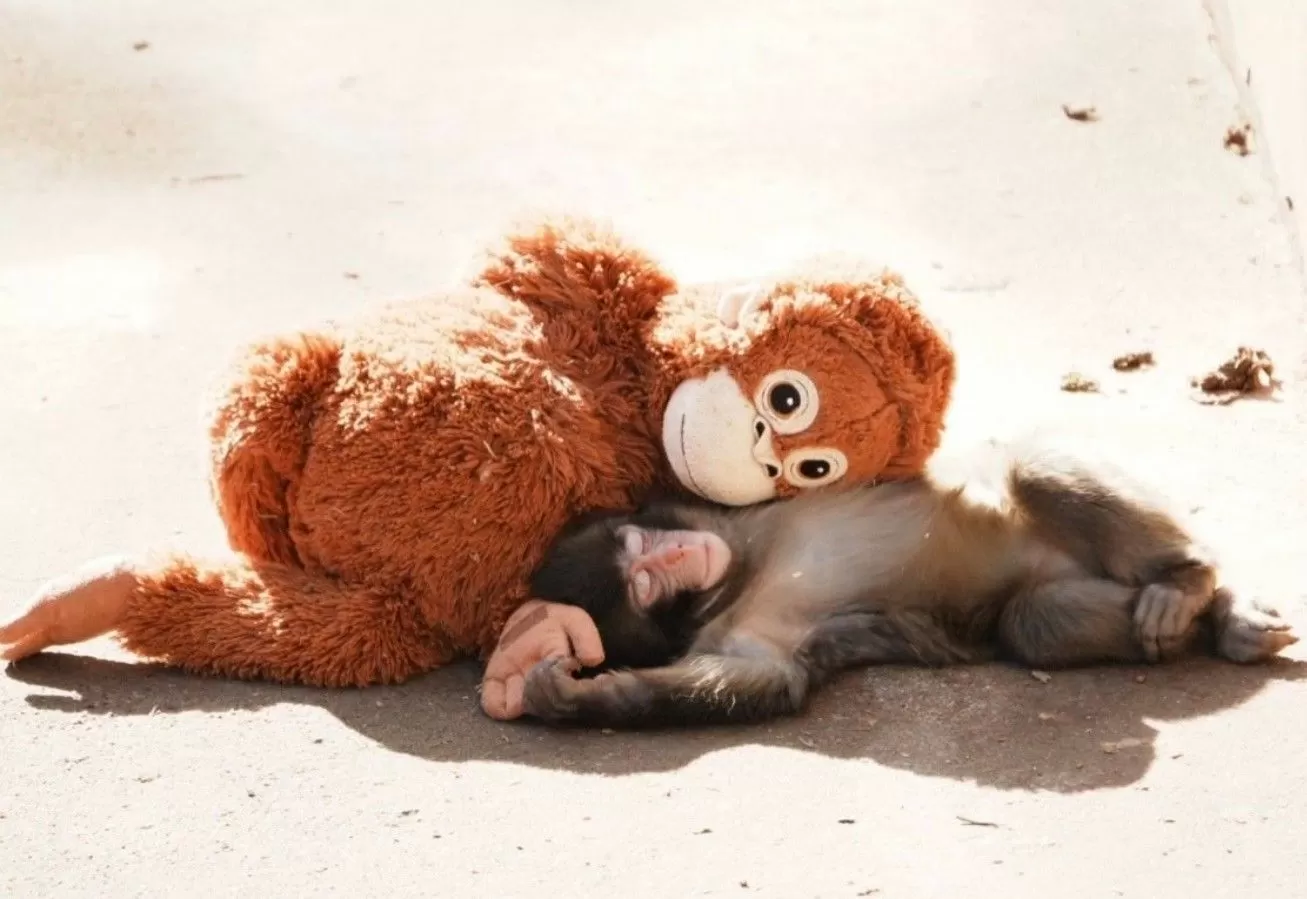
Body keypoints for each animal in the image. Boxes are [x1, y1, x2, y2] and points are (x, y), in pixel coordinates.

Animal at [521, 434, 1297, 728]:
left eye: (644, 546)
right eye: (643, 582)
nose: (680, 555)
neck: (740, 569)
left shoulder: (716, 506)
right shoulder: (737, 635)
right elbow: (768, 680)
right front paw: (579, 697)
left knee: (1026, 468)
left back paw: (1193, 581)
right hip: (1054, 591)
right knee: (1033, 623)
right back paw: (1205, 610)